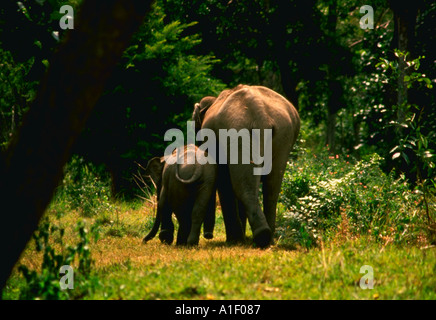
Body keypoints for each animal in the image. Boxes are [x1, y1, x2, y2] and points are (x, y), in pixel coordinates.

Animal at [192, 84, 302, 248]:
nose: (208, 236)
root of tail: (261, 113)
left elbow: (224, 183)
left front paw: (234, 240)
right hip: (283, 135)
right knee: (271, 185)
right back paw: (267, 238)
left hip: (236, 132)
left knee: (242, 185)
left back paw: (257, 237)